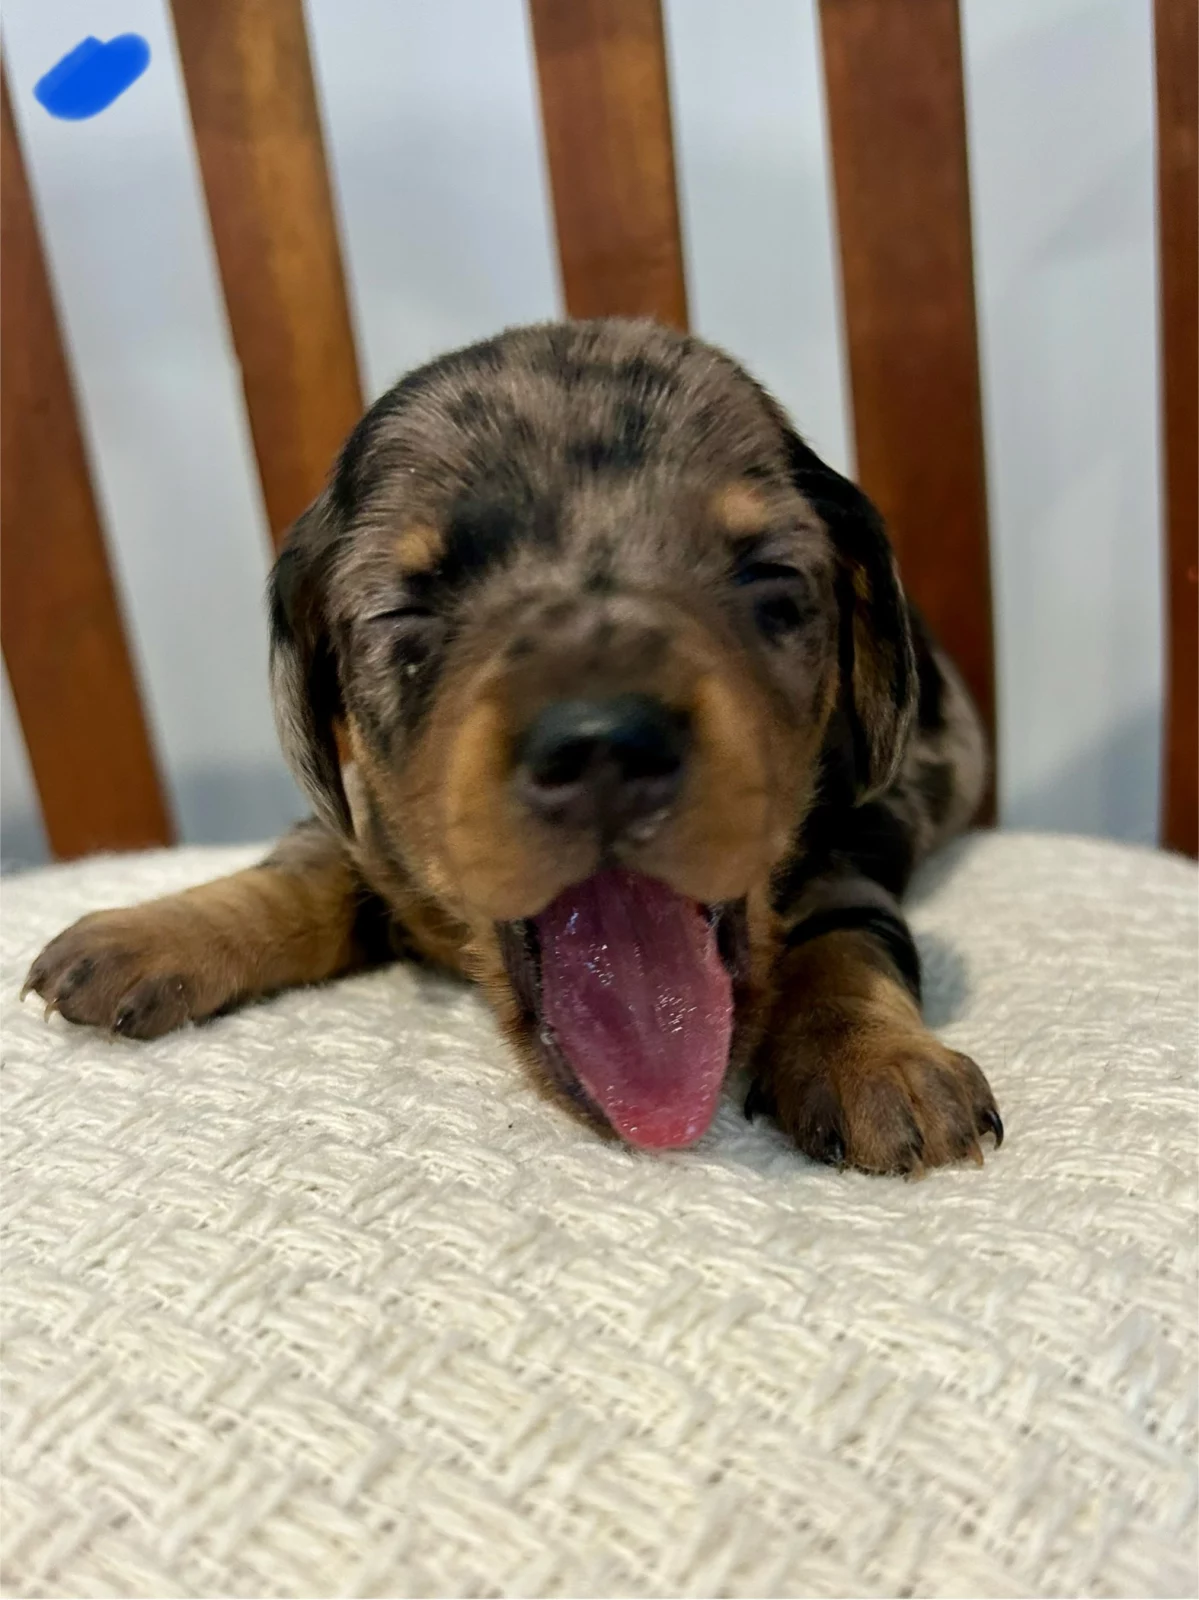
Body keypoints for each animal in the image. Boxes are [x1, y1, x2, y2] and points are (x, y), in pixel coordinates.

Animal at [24, 318, 1001, 1172]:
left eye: (766, 574)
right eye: (404, 611)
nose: (604, 748)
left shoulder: (863, 822)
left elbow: (841, 931)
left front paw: (871, 1057)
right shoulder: (363, 821)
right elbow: (304, 867)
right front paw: (151, 931)